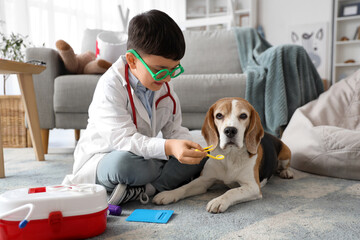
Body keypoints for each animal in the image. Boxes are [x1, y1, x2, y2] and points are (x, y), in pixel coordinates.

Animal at [153, 97, 294, 214]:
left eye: (243, 115)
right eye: (219, 115)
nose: (230, 130)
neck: (230, 155)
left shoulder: (253, 187)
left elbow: (232, 191)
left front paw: (218, 201)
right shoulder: (204, 180)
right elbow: (185, 187)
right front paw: (169, 194)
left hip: (286, 152)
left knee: (285, 165)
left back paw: (286, 172)